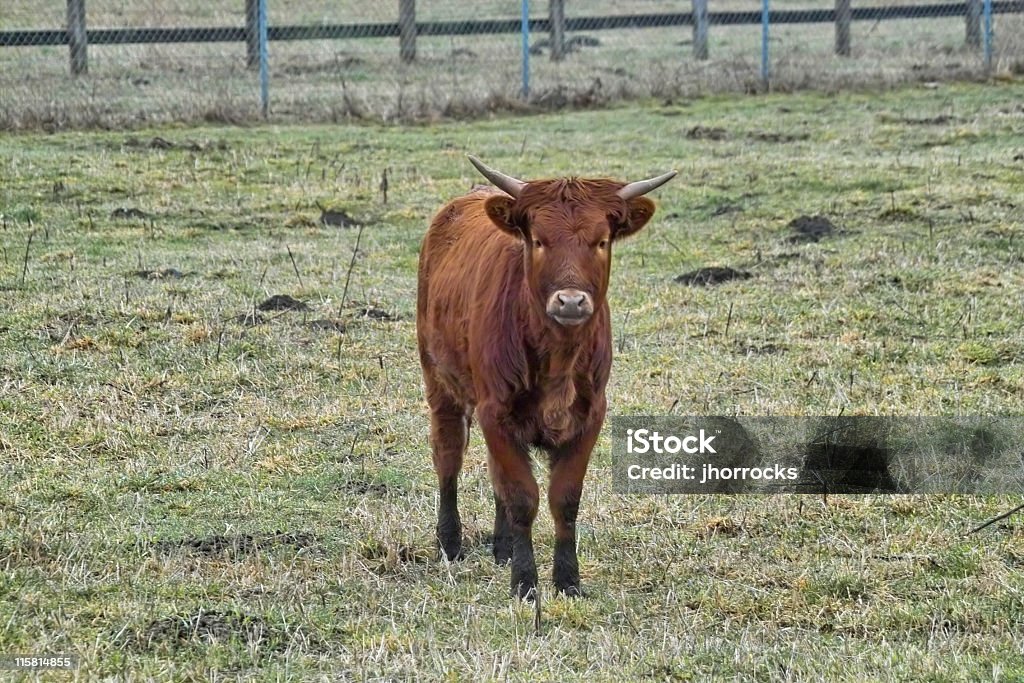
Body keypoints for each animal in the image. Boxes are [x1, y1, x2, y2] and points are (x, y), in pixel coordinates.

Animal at [411, 156, 675, 598]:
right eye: (538, 240)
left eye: (601, 241)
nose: (570, 301)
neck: (558, 360)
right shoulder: (496, 411)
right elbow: (522, 497)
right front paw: (525, 582)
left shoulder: (589, 415)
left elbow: (563, 498)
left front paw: (567, 580)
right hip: (440, 382)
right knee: (448, 455)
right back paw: (450, 542)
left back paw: (501, 547)